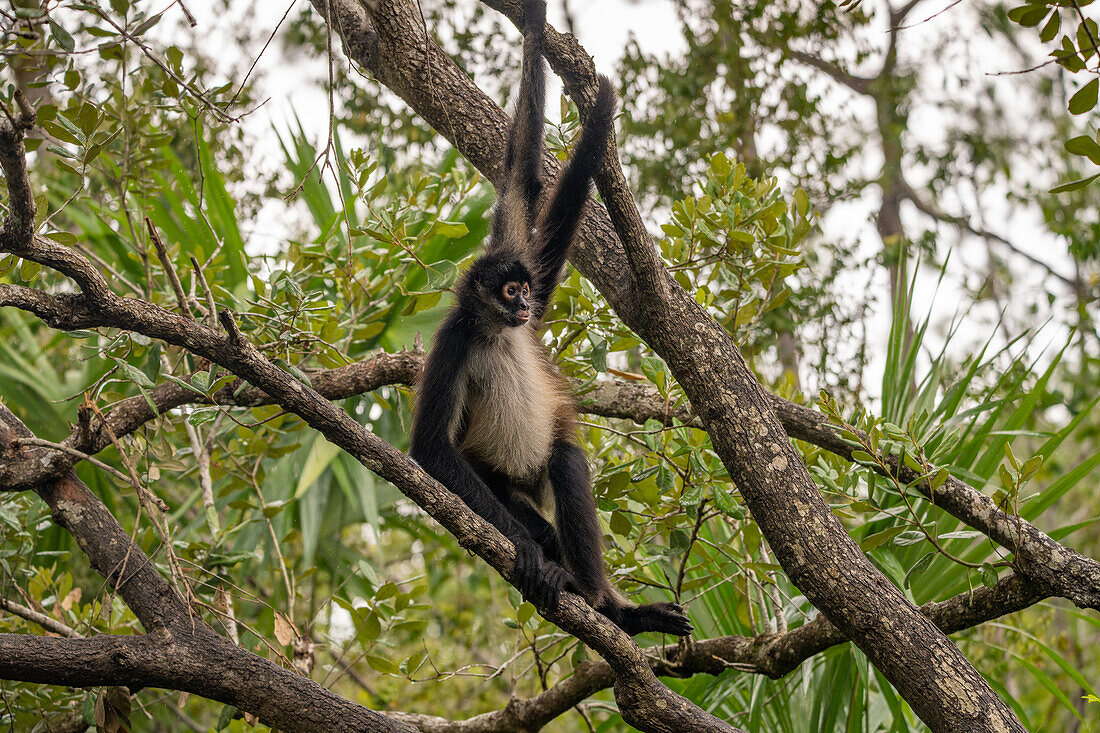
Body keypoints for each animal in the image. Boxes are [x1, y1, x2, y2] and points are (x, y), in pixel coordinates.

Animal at [409, 0, 690, 633]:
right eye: (509, 290)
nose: (527, 304)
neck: (495, 331)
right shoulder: (453, 340)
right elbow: (432, 450)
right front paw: (527, 549)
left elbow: (522, 175)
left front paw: (536, 25)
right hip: (500, 484)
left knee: (564, 458)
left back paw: (613, 609)